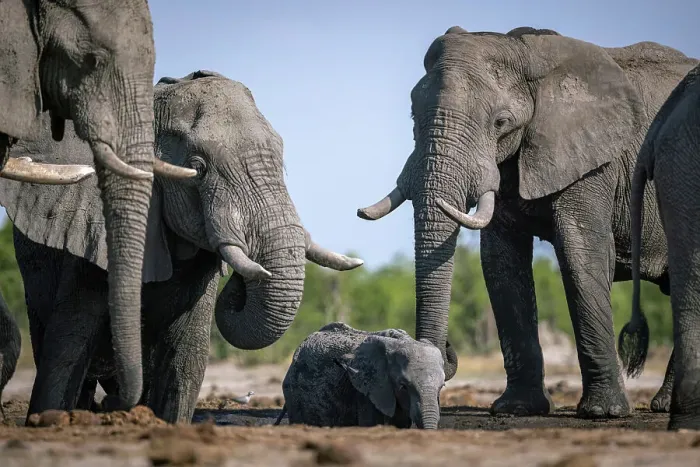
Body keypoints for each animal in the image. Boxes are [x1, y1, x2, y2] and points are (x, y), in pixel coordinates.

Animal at [357, 25, 698, 419]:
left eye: (501, 123)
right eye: (413, 117)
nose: (445, 352)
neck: (526, 52)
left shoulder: (595, 162)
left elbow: (581, 253)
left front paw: (603, 413)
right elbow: (501, 263)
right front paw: (516, 409)